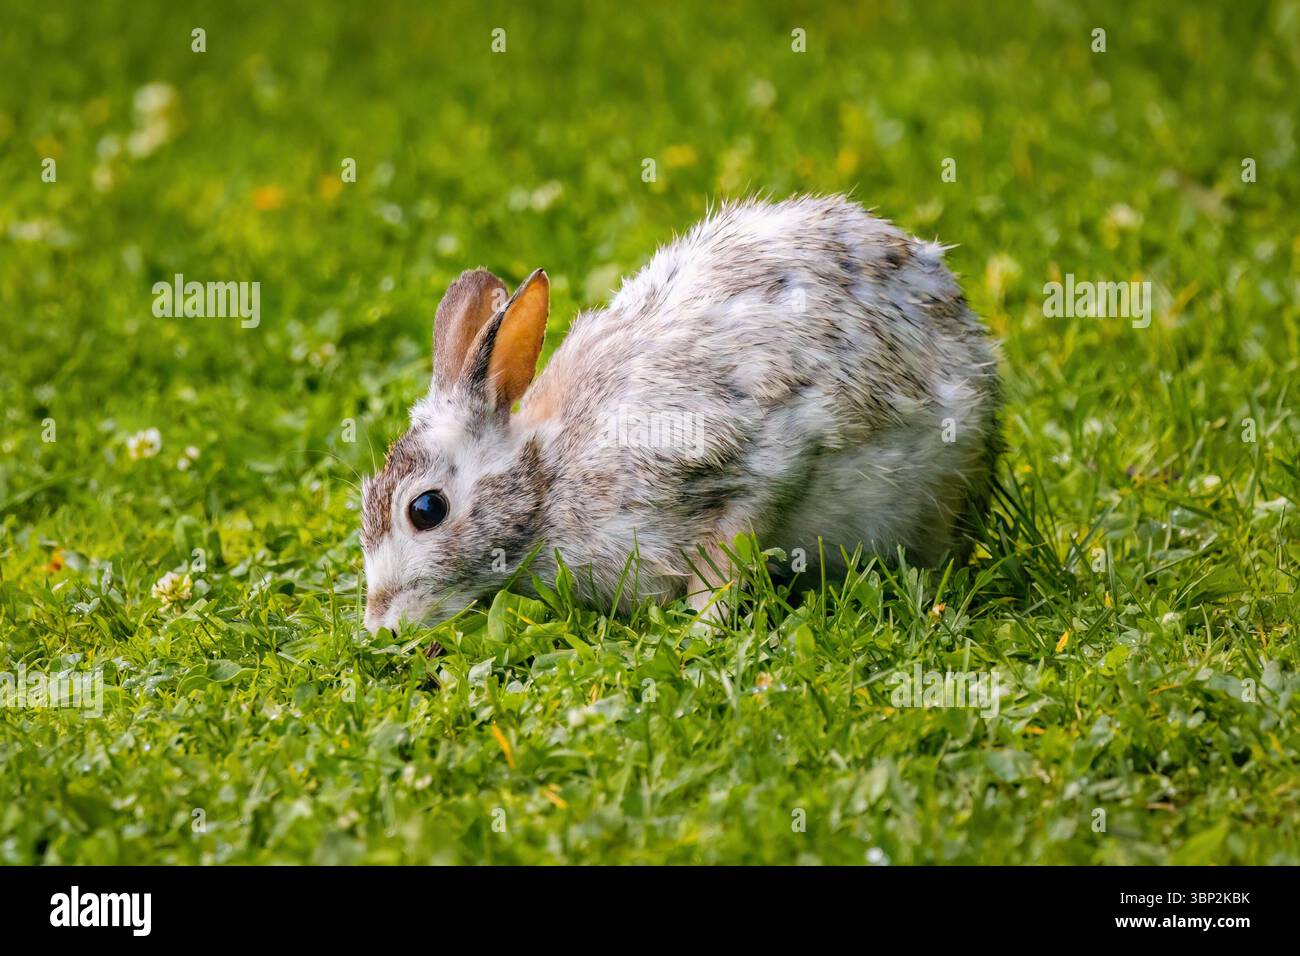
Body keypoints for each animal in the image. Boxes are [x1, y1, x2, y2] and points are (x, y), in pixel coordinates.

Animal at [360, 194, 1000, 633]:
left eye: (426, 510)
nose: (378, 624)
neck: (547, 479)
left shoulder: (755, 462)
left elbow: (726, 558)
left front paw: (700, 629)